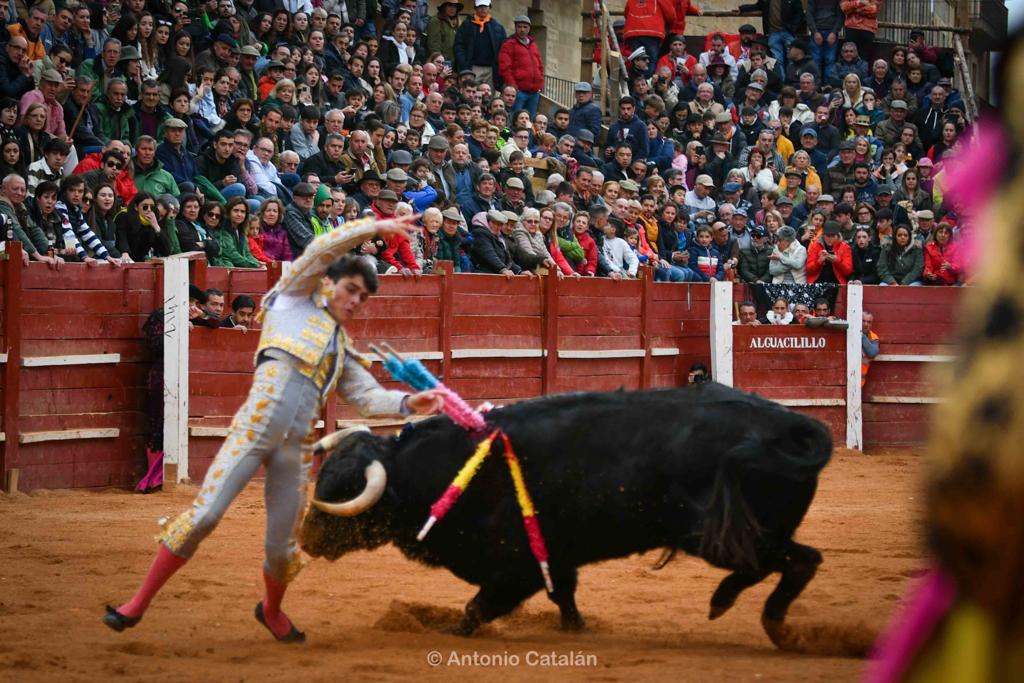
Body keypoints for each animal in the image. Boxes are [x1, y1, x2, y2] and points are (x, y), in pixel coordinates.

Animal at [299, 385, 831, 647]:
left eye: (344, 492)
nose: (304, 539)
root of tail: (791, 426)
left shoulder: (515, 569)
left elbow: (477, 608)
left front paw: (452, 632)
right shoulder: (554, 559)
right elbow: (565, 598)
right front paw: (577, 629)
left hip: (724, 535)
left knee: (797, 562)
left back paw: (754, 616)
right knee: (784, 562)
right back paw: (732, 606)